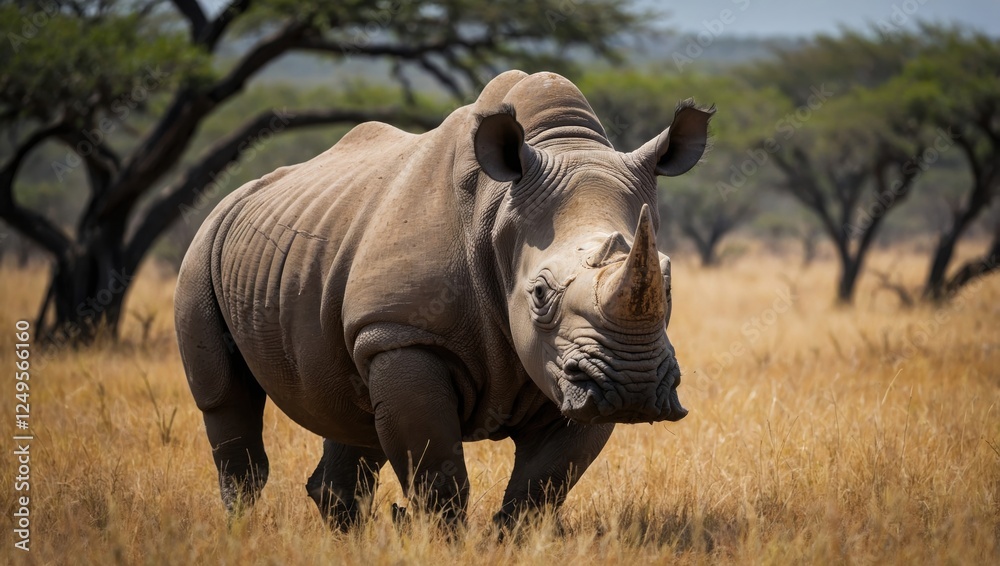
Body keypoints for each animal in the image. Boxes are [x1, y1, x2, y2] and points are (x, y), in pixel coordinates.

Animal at [174, 70, 712, 531]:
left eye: (668, 284)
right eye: (539, 293)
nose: (633, 388)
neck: (500, 217)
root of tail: (240, 194)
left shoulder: (574, 371)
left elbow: (543, 484)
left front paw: (513, 541)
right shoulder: (405, 334)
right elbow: (436, 477)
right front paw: (441, 541)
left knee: (355, 411)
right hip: (204, 244)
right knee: (226, 400)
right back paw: (240, 530)